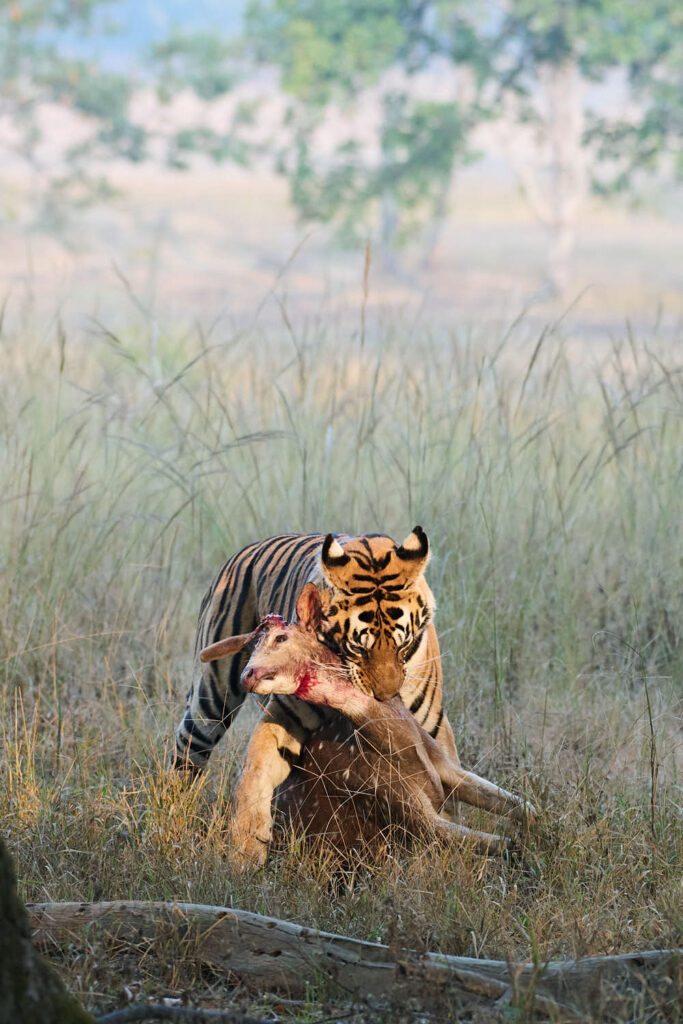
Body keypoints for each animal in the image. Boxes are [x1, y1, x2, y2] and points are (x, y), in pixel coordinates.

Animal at [172, 527, 459, 865]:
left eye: (403, 643)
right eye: (358, 647)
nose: (385, 697)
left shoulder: (431, 728)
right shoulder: (285, 715)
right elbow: (256, 770)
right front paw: (247, 845)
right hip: (212, 699)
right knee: (187, 750)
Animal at [200, 583, 537, 859]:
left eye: (281, 637)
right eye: (249, 649)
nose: (248, 674)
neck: (401, 745)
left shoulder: (446, 767)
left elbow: (525, 807)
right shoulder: (401, 807)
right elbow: (507, 845)